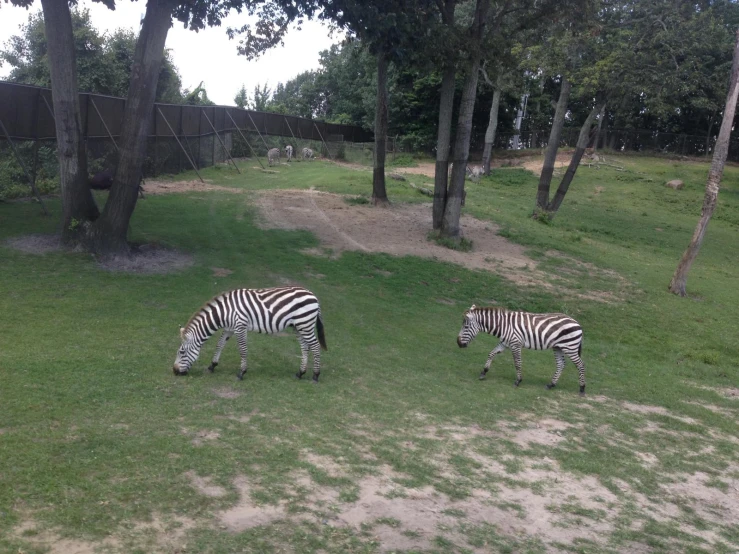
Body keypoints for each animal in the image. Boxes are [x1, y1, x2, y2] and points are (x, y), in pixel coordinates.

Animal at [173, 284, 326, 380]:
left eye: (181, 352)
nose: (174, 371)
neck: (224, 312)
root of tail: (314, 296)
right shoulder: (229, 328)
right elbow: (220, 344)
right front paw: (212, 365)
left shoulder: (240, 325)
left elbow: (242, 349)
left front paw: (241, 372)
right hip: (298, 326)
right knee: (305, 347)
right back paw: (300, 373)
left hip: (305, 324)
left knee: (315, 346)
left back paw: (316, 375)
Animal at [454, 302, 588, 392]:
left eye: (465, 327)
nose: (459, 344)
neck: (503, 325)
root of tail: (577, 323)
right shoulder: (504, 343)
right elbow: (491, 353)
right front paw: (484, 372)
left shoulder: (515, 344)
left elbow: (517, 363)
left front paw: (518, 381)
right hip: (558, 347)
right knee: (561, 364)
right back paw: (551, 384)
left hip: (570, 347)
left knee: (580, 364)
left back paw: (582, 388)